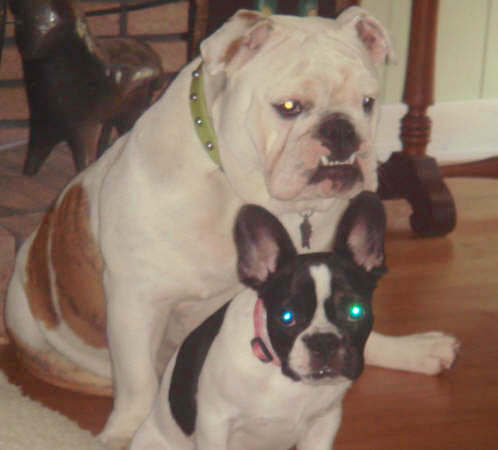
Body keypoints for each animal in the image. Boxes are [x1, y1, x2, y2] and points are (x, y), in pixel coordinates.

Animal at [130, 191, 388, 450]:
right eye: (287, 317)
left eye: (355, 311)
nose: (323, 341)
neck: (280, 373)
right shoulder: (215, 423)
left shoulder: (324, 422)